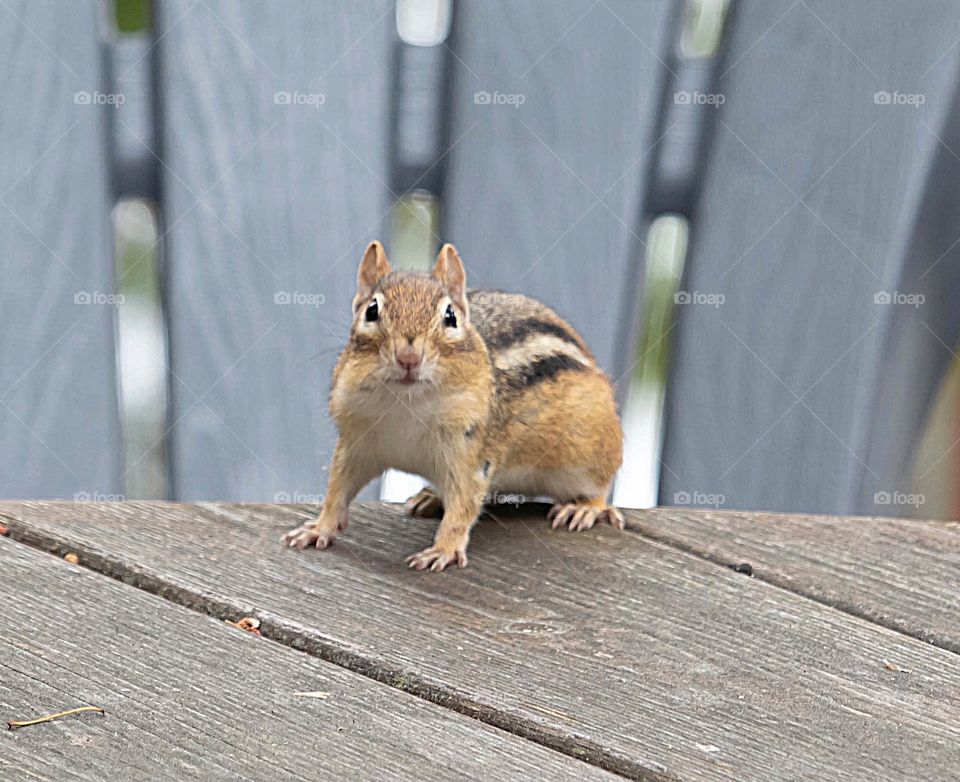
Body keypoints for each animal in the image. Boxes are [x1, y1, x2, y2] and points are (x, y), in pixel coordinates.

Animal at [282, 240, 624, 571]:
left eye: (450, 317)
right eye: (372, 310)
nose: (409, 357)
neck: (406, 403)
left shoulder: (469, 454)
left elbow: (462, 508)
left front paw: (442, 550)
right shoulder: (357, 444)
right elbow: (337, 491)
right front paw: (318, 529)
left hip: (590, 452)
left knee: (600, 486)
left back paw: (584, 509)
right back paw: (430, 497)